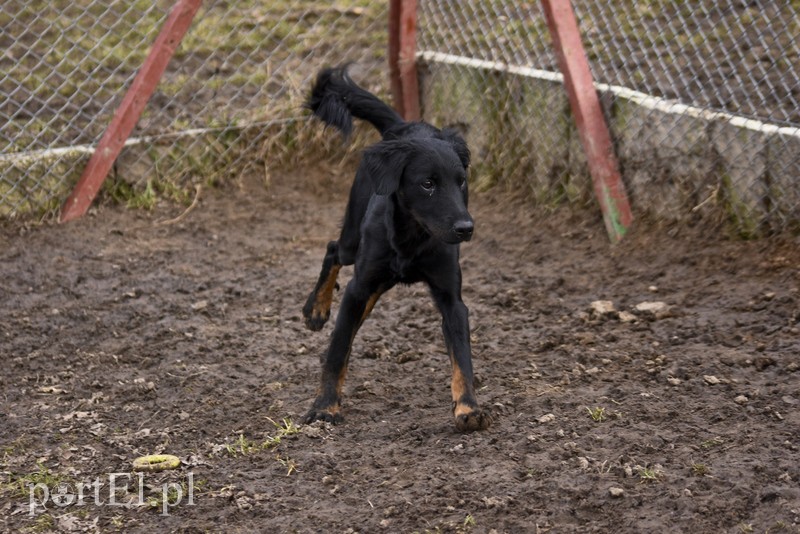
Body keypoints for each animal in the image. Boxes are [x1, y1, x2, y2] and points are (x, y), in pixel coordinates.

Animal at [300, 67, 488, 436]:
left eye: (461, 181)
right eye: (427, 183)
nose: (466, 228)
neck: (412, 239)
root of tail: (403, 127)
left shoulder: (452, 299)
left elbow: (462, 356)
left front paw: (467, 407)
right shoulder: (358, 287)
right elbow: (337, 351)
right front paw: (325, 406)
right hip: (353, 243)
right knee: (333, 250)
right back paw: (317, 308)